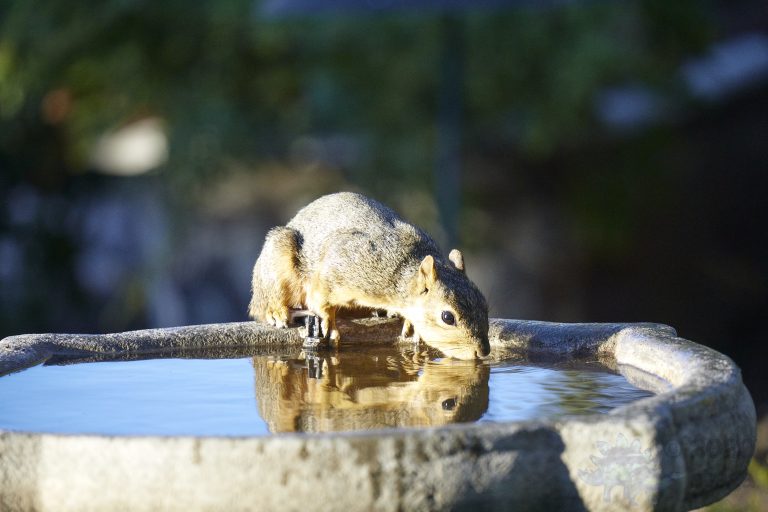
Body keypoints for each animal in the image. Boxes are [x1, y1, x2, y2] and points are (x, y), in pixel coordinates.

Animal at [248, 192, 490, 359]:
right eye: (447, 317)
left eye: (485, 305)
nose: (483, 352)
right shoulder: (340, 265)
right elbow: (320, 298)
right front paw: (328, 322)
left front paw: (409, 324)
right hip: (277, 261)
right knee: (262, 305)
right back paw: (278, 312)